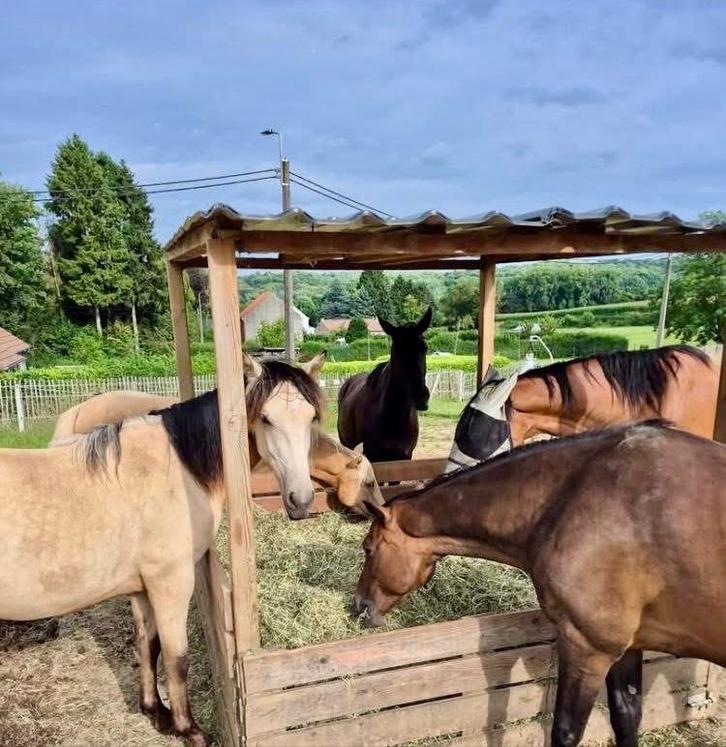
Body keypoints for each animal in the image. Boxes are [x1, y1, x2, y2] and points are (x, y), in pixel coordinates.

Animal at [0, 355, 324, 745]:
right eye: (266, 418)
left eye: (310, 417)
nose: (300, 501)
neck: (181, 468)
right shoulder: (171, 584)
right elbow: (176, 658)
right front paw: (189, 729)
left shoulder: (142, 588)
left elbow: (147, 645)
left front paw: (155, 711)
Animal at [355, 422, 726, 746]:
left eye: (368, 548)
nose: (360, 605)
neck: (570, 497)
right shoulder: (627, 646)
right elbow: (626, 717)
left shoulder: (587, 649)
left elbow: (565, 731)